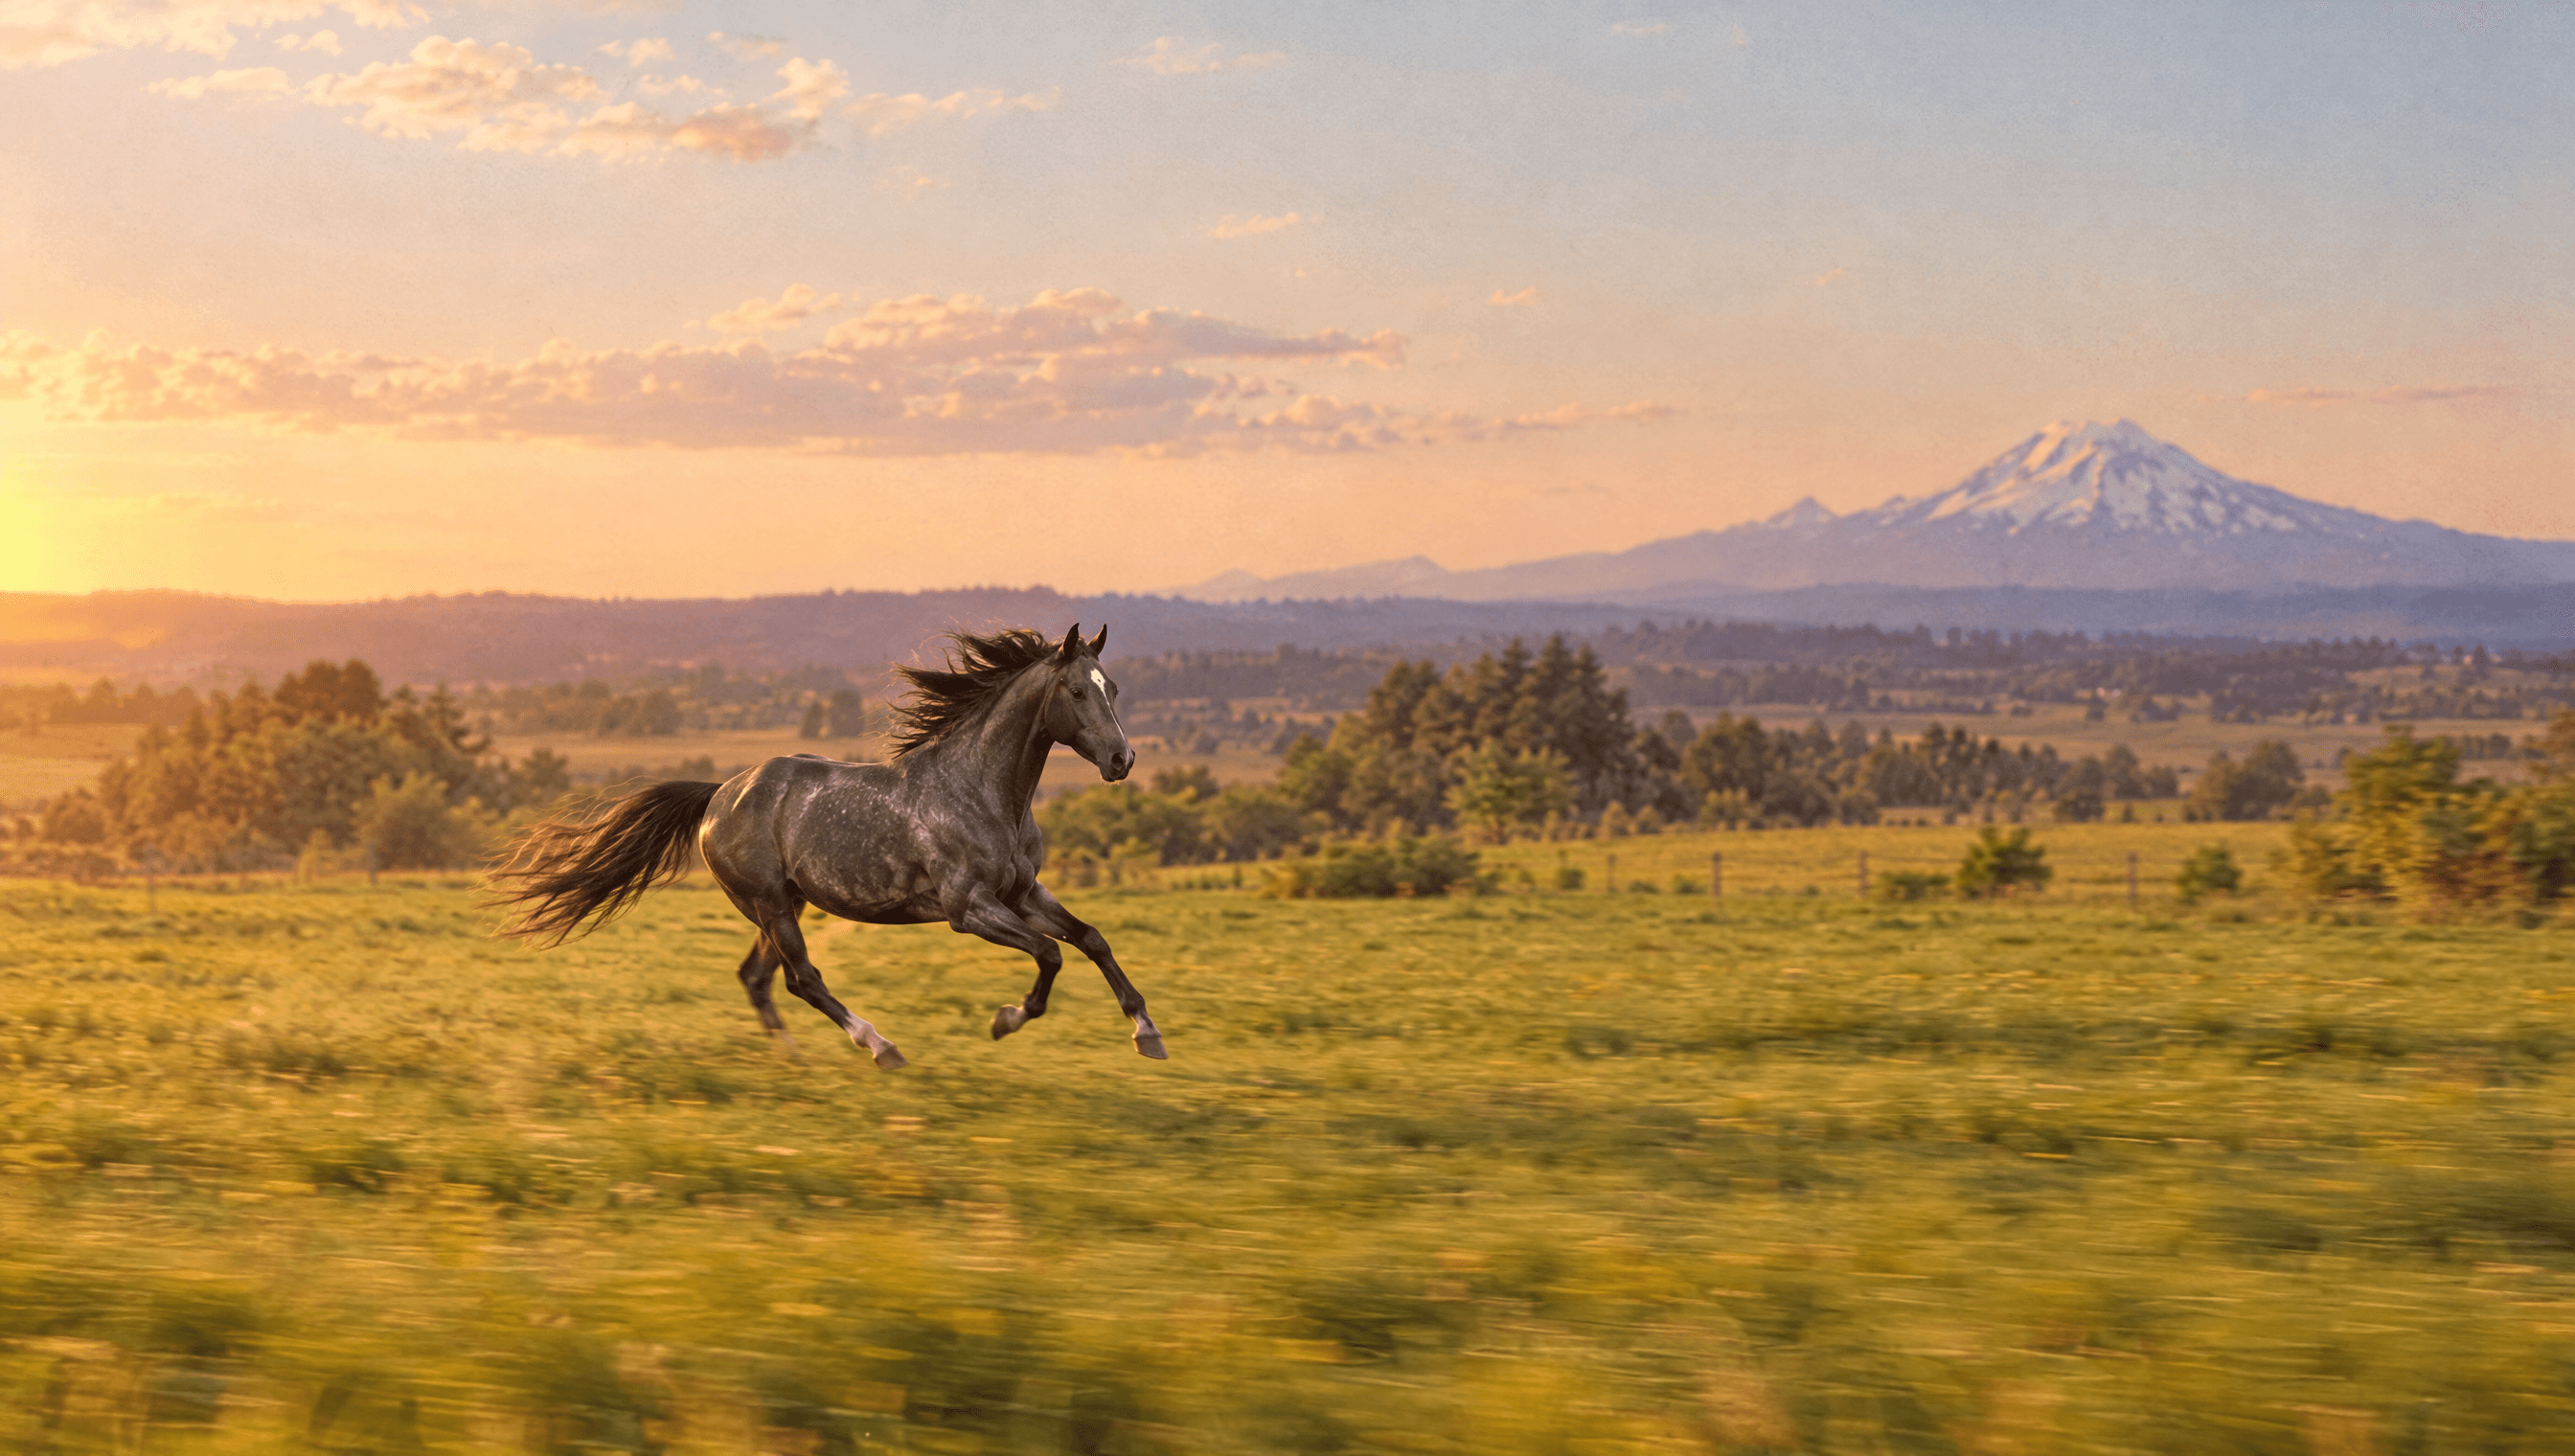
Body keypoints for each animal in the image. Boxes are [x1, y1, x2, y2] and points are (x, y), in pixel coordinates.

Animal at [487, 623, 1167, 1067]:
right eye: (1077, 691)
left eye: (1113, 687)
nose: (1122, 759)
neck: (983, 791)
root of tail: (719, 796)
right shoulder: (968, 908)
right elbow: (1049, 955)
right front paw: (1005, 1020)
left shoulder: (1025, 892)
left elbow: (1090, 939)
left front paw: (1147, 1034)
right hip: (770, 903)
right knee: (801, 979)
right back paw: (880, 1046)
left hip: (784, 903)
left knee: (758, 979)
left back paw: (794, 1062)